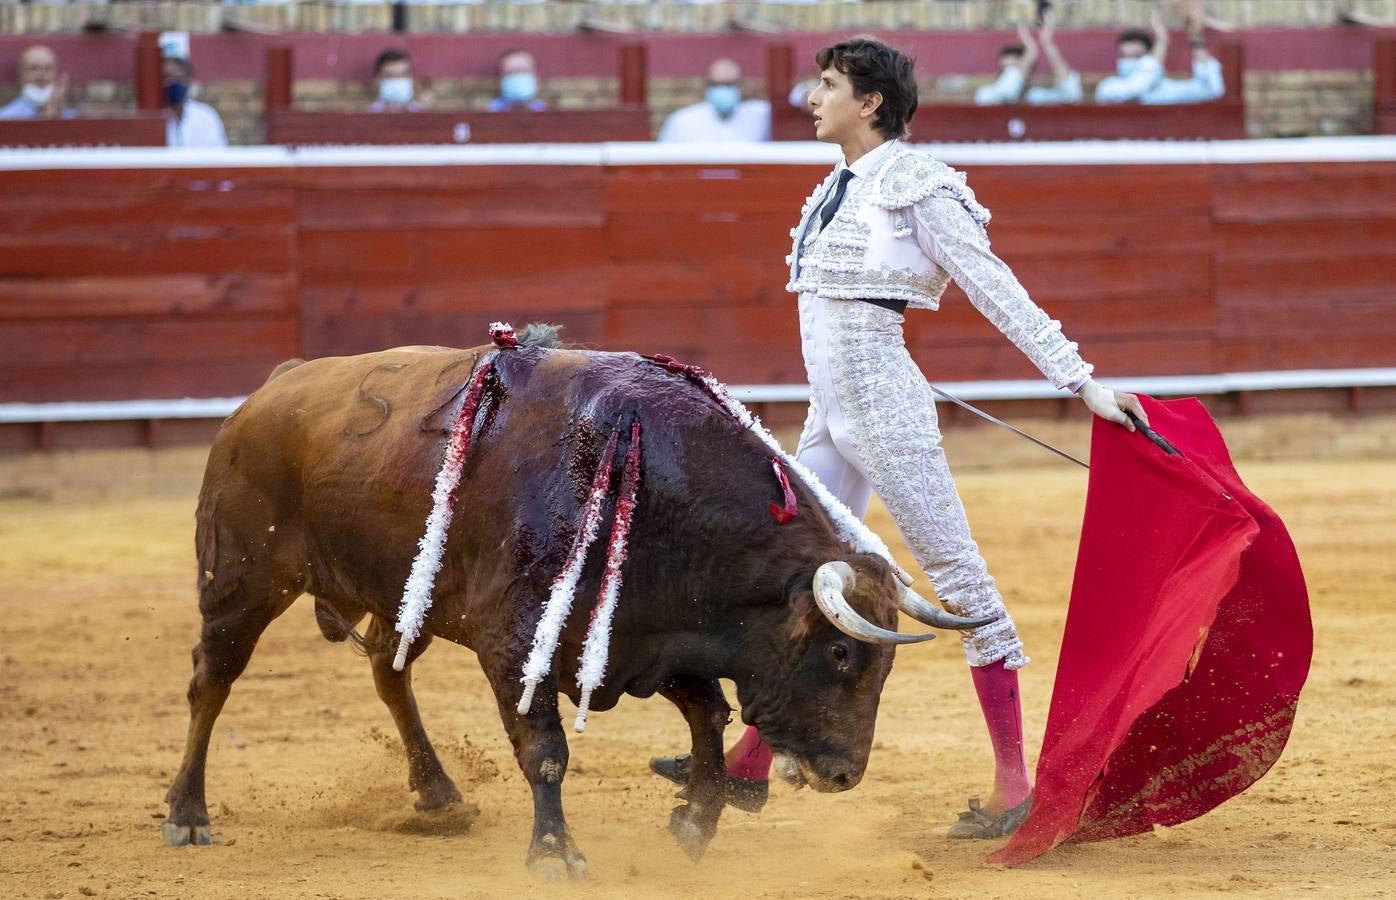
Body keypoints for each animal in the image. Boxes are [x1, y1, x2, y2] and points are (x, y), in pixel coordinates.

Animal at [163, 326, 988, 876]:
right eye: (842, 652)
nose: (845, 774)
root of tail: (274, 387)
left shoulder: (648, 641)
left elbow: (710, 719)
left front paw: (694, 824)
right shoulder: (514, 645)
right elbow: (547, 752)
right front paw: (557, 854)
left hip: (405, 597)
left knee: (388, 675)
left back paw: (438, 793)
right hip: (240, 580)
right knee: (211, 680)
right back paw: (187, 815)